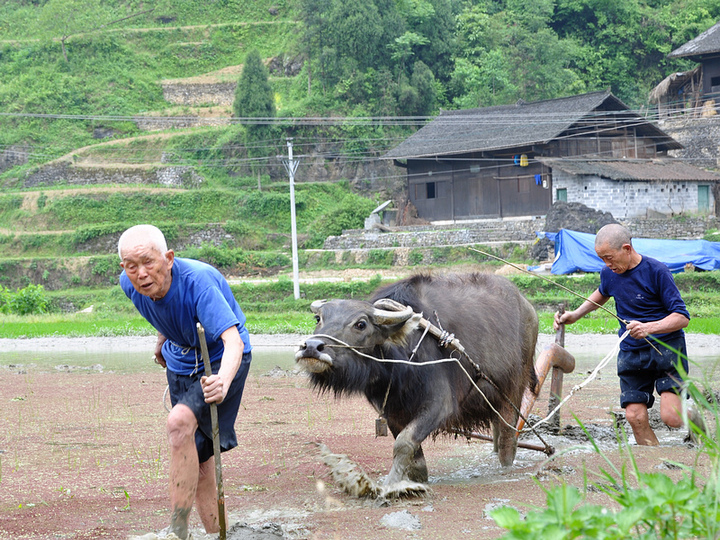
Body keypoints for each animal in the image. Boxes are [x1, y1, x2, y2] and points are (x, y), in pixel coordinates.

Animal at [296, 272, 536, 496]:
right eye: (318, 318)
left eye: (361, 324)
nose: (311, 347)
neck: (399, 364)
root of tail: (529, 309)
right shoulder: (392, 411)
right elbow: (414, 456)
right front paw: (414, 481)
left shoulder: (439, 404)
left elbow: (404, 443)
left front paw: (389, 484)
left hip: (512, 391)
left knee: (507, 437)